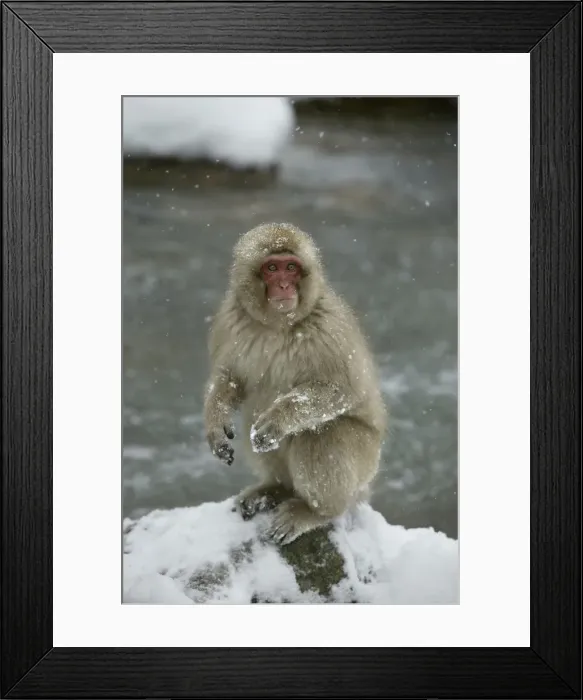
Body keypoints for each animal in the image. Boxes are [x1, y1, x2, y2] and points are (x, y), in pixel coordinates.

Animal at [203, 222, 387, 545]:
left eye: (291, 268)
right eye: (271, 268)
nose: (284, 286)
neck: (278, 324)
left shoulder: (329, 328)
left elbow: (342, 390)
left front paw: (278, 420)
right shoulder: (228, 320)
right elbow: (228, 378)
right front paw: (215, 425)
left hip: (366, 461)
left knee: (321, 434)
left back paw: (317, 512)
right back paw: (276, 489)